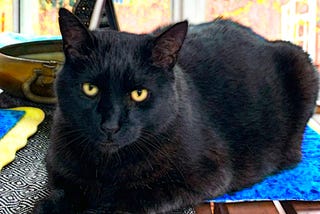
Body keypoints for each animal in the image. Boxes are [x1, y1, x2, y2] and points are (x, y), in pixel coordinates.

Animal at [33, 7, 318, 213]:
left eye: (139, 93)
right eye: (90, 88)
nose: (110, 125)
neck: (108, 165)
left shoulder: (206, 176)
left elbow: (133, 198)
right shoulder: (57, 164)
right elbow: (61, 191)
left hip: (303, 65)